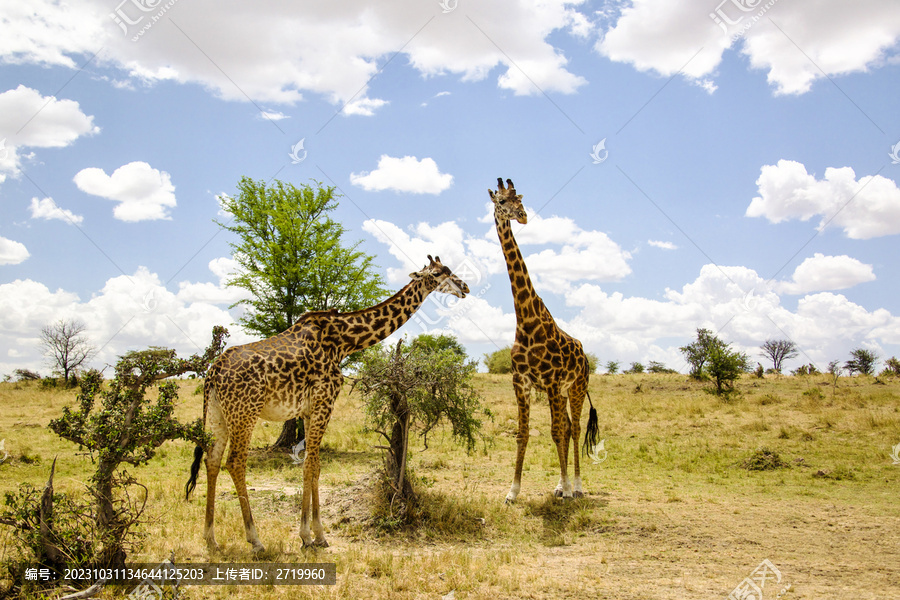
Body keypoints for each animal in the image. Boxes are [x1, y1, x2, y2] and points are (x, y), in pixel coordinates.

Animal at [180, 255, 468, 552]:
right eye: (437, 273)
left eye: (450, 270)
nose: (464, 287)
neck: (346, 341)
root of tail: (213, 372)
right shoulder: (325, 400)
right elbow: (311, 464)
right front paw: (311, 535)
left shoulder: (308, 409)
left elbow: (314, 466)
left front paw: (313, 534)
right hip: (244, 413)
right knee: (235, 462)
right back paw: (255, 539)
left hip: (218, 413)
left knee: (212, 459)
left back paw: (210, 538)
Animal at [488, 177, 600, 502]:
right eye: (501, 202)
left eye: (520, 200)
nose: (523, 216)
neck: (525, 319)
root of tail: (585, 356)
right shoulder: (521, 382)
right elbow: (523, 434)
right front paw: (513, 491)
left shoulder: (550, 381)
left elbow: (555, 431)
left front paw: (567, 489)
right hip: (562, 392)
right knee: (567, 428)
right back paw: (561, 485)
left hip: (576, 387)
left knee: (574, 428)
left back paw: (576, 487)